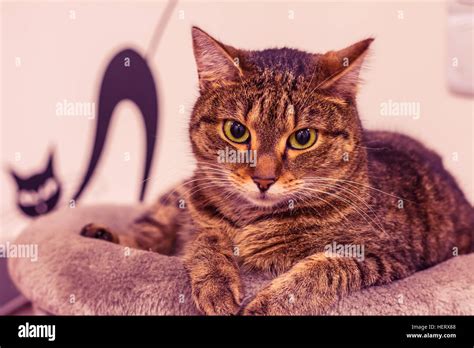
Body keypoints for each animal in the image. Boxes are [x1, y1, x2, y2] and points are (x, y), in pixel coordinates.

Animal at [81, 26, 474, 316]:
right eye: (236, 131)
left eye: (303, 137)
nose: (264, 180)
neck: (253, 221)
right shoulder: (197, 219)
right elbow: (204, 239)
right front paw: (216, 283)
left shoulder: (387, 256)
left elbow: (323, 269)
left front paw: (266, 303)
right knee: (146, 233)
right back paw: (101, 233)